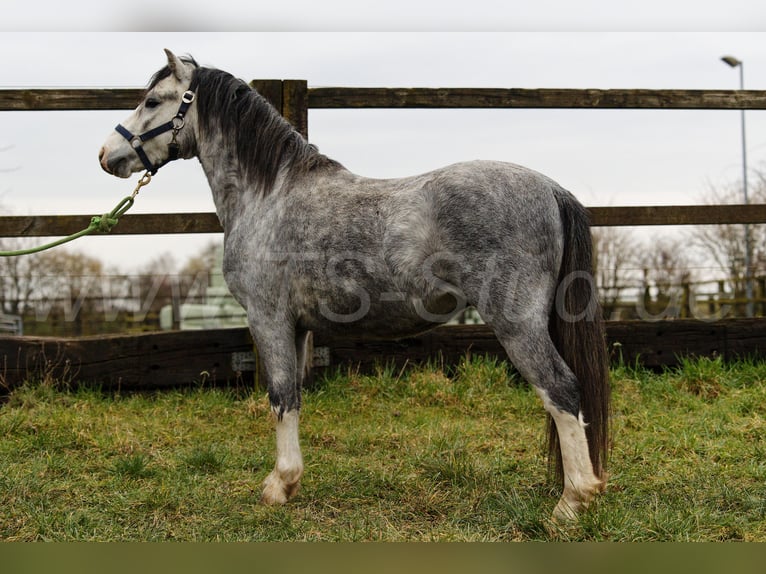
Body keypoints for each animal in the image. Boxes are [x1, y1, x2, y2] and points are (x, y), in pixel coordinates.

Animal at [99, 50, 612, 528]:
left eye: (152, 101)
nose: (106, 155)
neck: (269, 195)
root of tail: (550, 189)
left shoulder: (268, 319)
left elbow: (280, 397)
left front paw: (278, 486)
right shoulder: (298, 328)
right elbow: (294, 397)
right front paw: (290, 482)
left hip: (517, 324)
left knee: (561, 390)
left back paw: (571, 504)